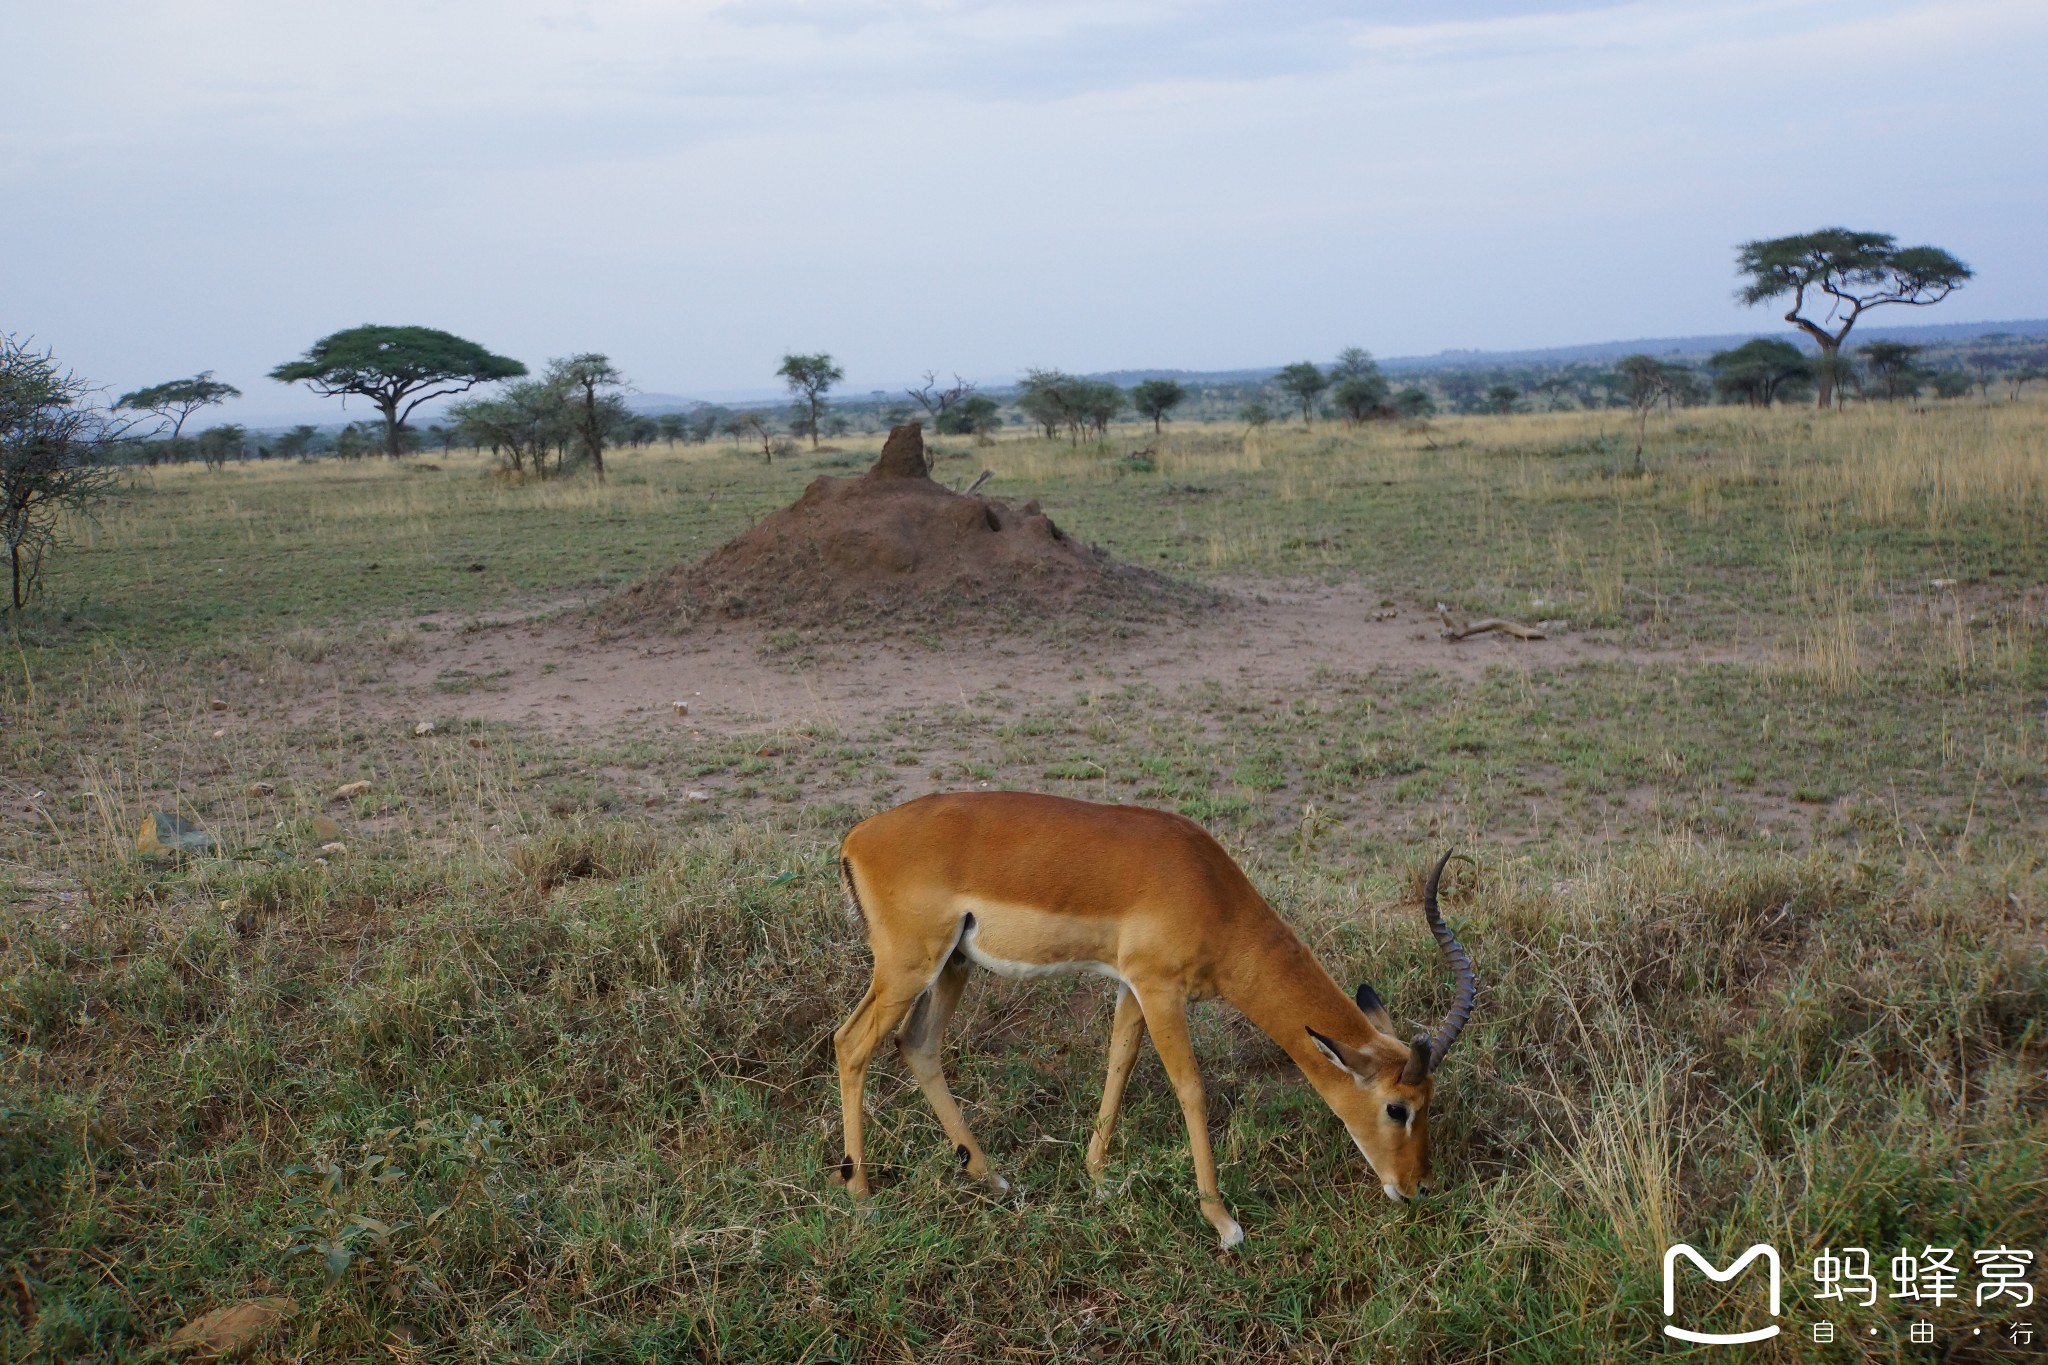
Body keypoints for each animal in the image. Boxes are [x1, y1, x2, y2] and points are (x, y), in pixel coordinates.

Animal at [831, 789, 1474, 1252]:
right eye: (1398, 1107)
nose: (1417, 1188)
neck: (1207, 889)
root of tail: (857, 837)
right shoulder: (1161, 989)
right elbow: (1190, 1087)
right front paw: (1224, 1223)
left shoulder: (1131, 988)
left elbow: (1118, 1065)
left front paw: (1097, 1177)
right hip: (908, 966)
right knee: (850, 1042)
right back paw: (862, 1197)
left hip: (952, 966)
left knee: (917, 1045)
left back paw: (991, 1179)